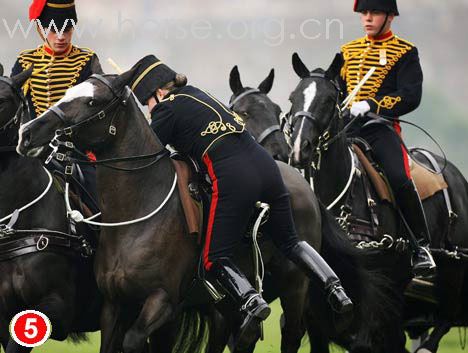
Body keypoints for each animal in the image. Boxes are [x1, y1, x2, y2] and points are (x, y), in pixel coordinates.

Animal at [288, 52, 468, 352]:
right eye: (293, 97)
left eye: (328, 100)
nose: (299, 149)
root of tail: (455, 176)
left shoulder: (379, 285)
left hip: (451, 269)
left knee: (447, 315)